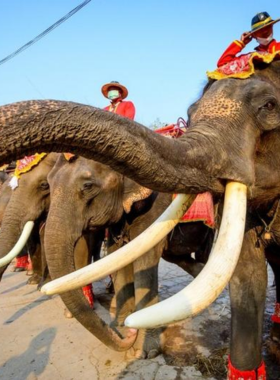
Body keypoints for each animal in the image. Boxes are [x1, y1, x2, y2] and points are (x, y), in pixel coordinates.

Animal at [43, 154, 212, 360]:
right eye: (48, 183)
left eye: (88, 186)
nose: (131, 334)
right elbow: (117, 254)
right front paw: (123, 326)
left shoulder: (155, 207)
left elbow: (145, 259)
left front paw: (143, 352)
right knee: (179, 257)